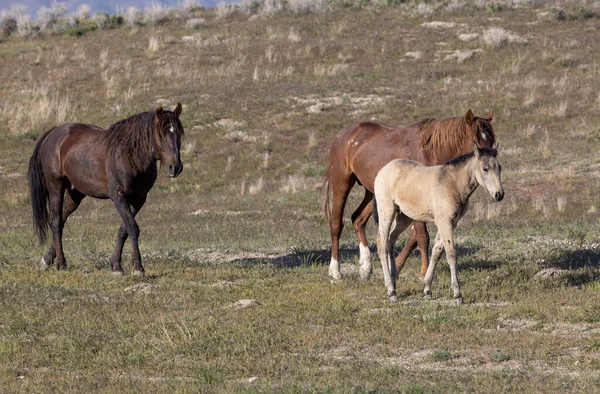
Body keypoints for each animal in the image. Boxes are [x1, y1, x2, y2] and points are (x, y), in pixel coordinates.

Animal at [27, 105, 185, 278]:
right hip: (56, 185)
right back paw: (61, 263)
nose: (175, 167)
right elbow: (133, 228)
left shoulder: (138, 199)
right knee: (55, 221)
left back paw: (48, 259)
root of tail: (53, 133)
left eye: (179, 133)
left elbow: (124, 230)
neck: (130, 155)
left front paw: (116, 265)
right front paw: (137, 267)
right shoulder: (119, 197)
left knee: (61, 220)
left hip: (75, 194)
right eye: (161, 134)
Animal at [324, 107, 496, 280]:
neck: (432, 152)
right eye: (475, 140)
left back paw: (366, 266)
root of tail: (343, 134)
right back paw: (335, 270)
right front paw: (424, 272)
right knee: (336, 224)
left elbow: (413, 237)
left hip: (372, 193)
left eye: (492, 142)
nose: (489, 161)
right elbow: (422, 237)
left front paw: (397, 265)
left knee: (358, 219)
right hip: (342, 182)